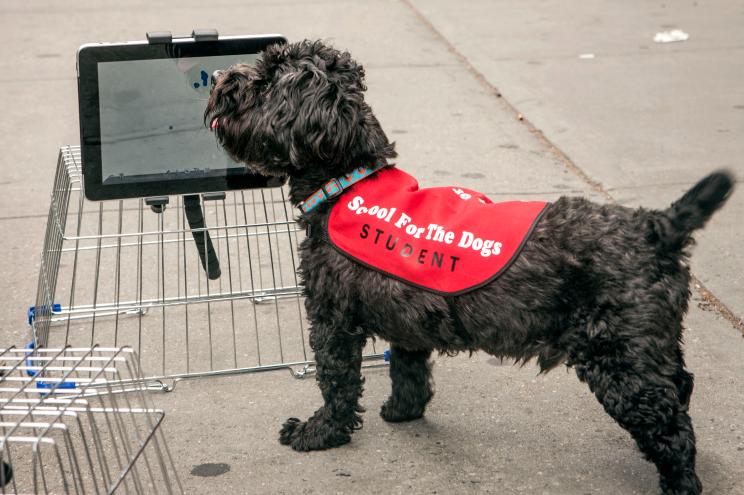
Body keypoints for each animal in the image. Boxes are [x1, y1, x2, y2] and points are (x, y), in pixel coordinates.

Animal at [206, 39, 736, 495]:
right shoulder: (407, 321)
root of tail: (656, 225)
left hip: (620, 360)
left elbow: (337, 383)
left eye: (266, 80)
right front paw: (402, 411)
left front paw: (317, 433)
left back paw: (680, 483)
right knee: (680, 388)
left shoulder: (332, 322)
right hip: (650, 344)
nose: (220, 78)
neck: (348, 182)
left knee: (671, 427)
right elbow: (409, 370)